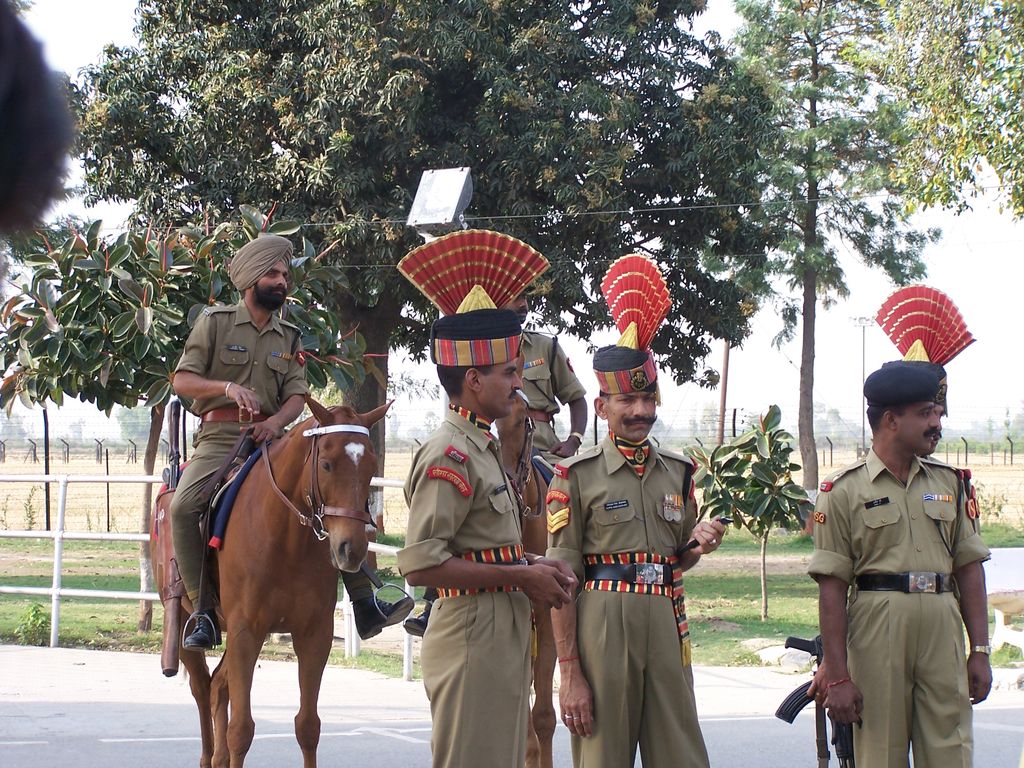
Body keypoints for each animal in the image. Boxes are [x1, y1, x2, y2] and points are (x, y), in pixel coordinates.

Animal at [151, 396, 390, 768]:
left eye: (370, 467)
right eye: (326, 464)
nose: (351, 549)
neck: (286, 537)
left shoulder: (314, 633)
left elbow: (308, 726)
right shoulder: (245, 630)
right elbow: (241, 730)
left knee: (219, 685)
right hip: (186, 619)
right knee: (203, 688)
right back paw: (208, 754)